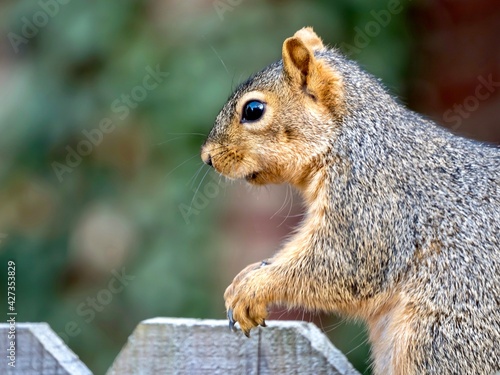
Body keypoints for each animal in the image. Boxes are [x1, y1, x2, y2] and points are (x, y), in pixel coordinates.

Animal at [200, 27, 500, 374]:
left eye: (253, 110)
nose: (207, 157)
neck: (349, 137)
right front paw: (248, 275)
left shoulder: (369, 200)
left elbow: (346, 263)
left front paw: (253, 287)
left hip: (442, 337)